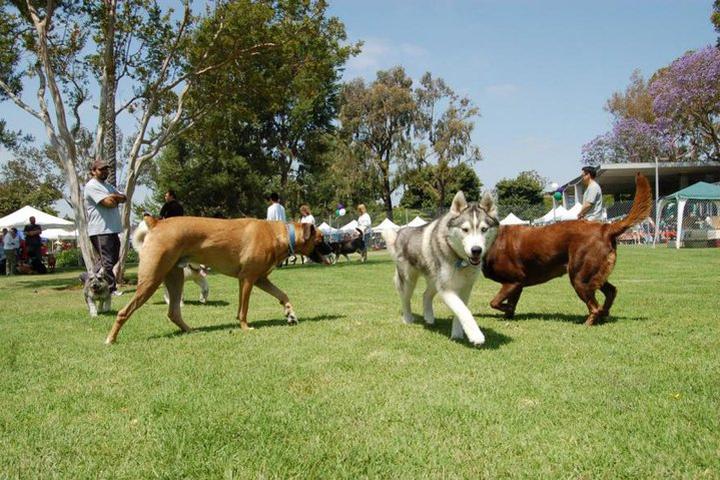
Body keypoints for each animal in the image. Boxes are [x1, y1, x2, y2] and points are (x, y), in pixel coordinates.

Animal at [104, 215, 332, 344]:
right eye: (321, 239)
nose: (333, 248)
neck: (281, 234)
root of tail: (156, 223)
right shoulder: (248, 279)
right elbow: (243, 309)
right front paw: (245, 327)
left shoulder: (260, 279)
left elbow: (282, 294)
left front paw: (290, 313)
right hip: (151, 279)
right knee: (124, 312)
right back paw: (111, 339)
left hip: (174, 279)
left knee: (173, 312)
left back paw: (190, 330)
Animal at [386, 191, 498, 344]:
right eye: (465, 229)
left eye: (484, 229)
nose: (476, 250)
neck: (460, 260)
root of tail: (400, 232)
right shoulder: (446, 289)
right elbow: (463, 310)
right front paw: (475, 335)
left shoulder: (466, 287)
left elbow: (460, 310)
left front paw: (457, 333)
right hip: (409, 281)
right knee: (405, 299)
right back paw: (408, 318)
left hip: (434, 280)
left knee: (425, 295)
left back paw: (429, 317)